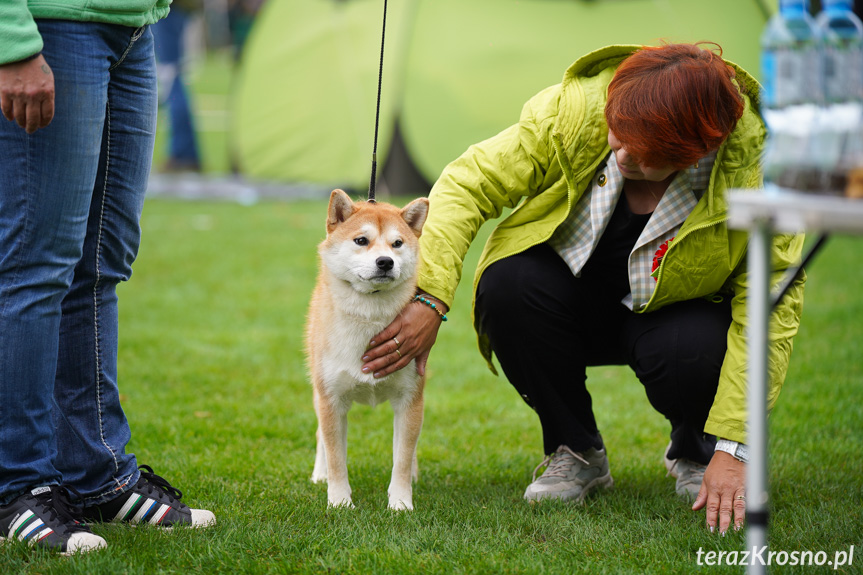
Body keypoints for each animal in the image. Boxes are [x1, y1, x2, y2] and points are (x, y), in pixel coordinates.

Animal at [308, 190, 432, 512]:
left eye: (397, 243)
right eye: (361, 240)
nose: (385, 262)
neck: (369, 318)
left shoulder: (410, 399)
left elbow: (402, 458)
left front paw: (400, 502)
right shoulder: (331, 400)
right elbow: (336, 458)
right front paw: (340, 501)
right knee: (320, 437)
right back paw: (319, 475)